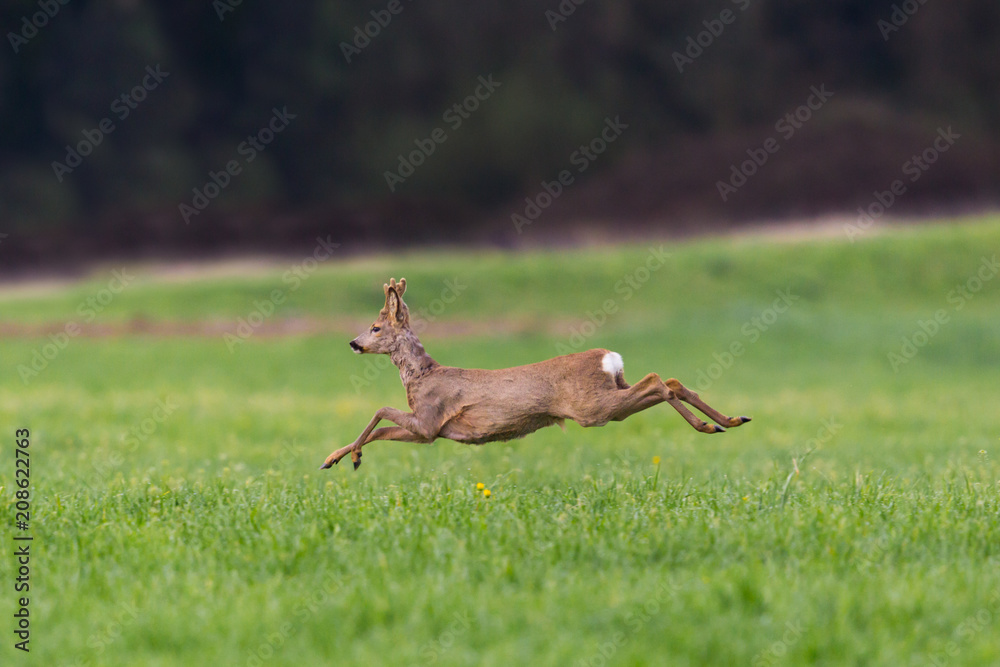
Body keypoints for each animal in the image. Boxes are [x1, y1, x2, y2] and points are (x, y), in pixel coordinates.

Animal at [320, 280, 752, 472]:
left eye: (376, 327)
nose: (353, 343)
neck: (420, 376)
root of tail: (609, 358)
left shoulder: (428, 420)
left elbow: (379, 412)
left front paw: (344, 457)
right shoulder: (430, 432)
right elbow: (380, 429)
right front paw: (337, 458)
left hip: (591, 407)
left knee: (658, 379)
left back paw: (712, 424)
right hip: (611, 397)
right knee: (671, 383)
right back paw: (730, 420)